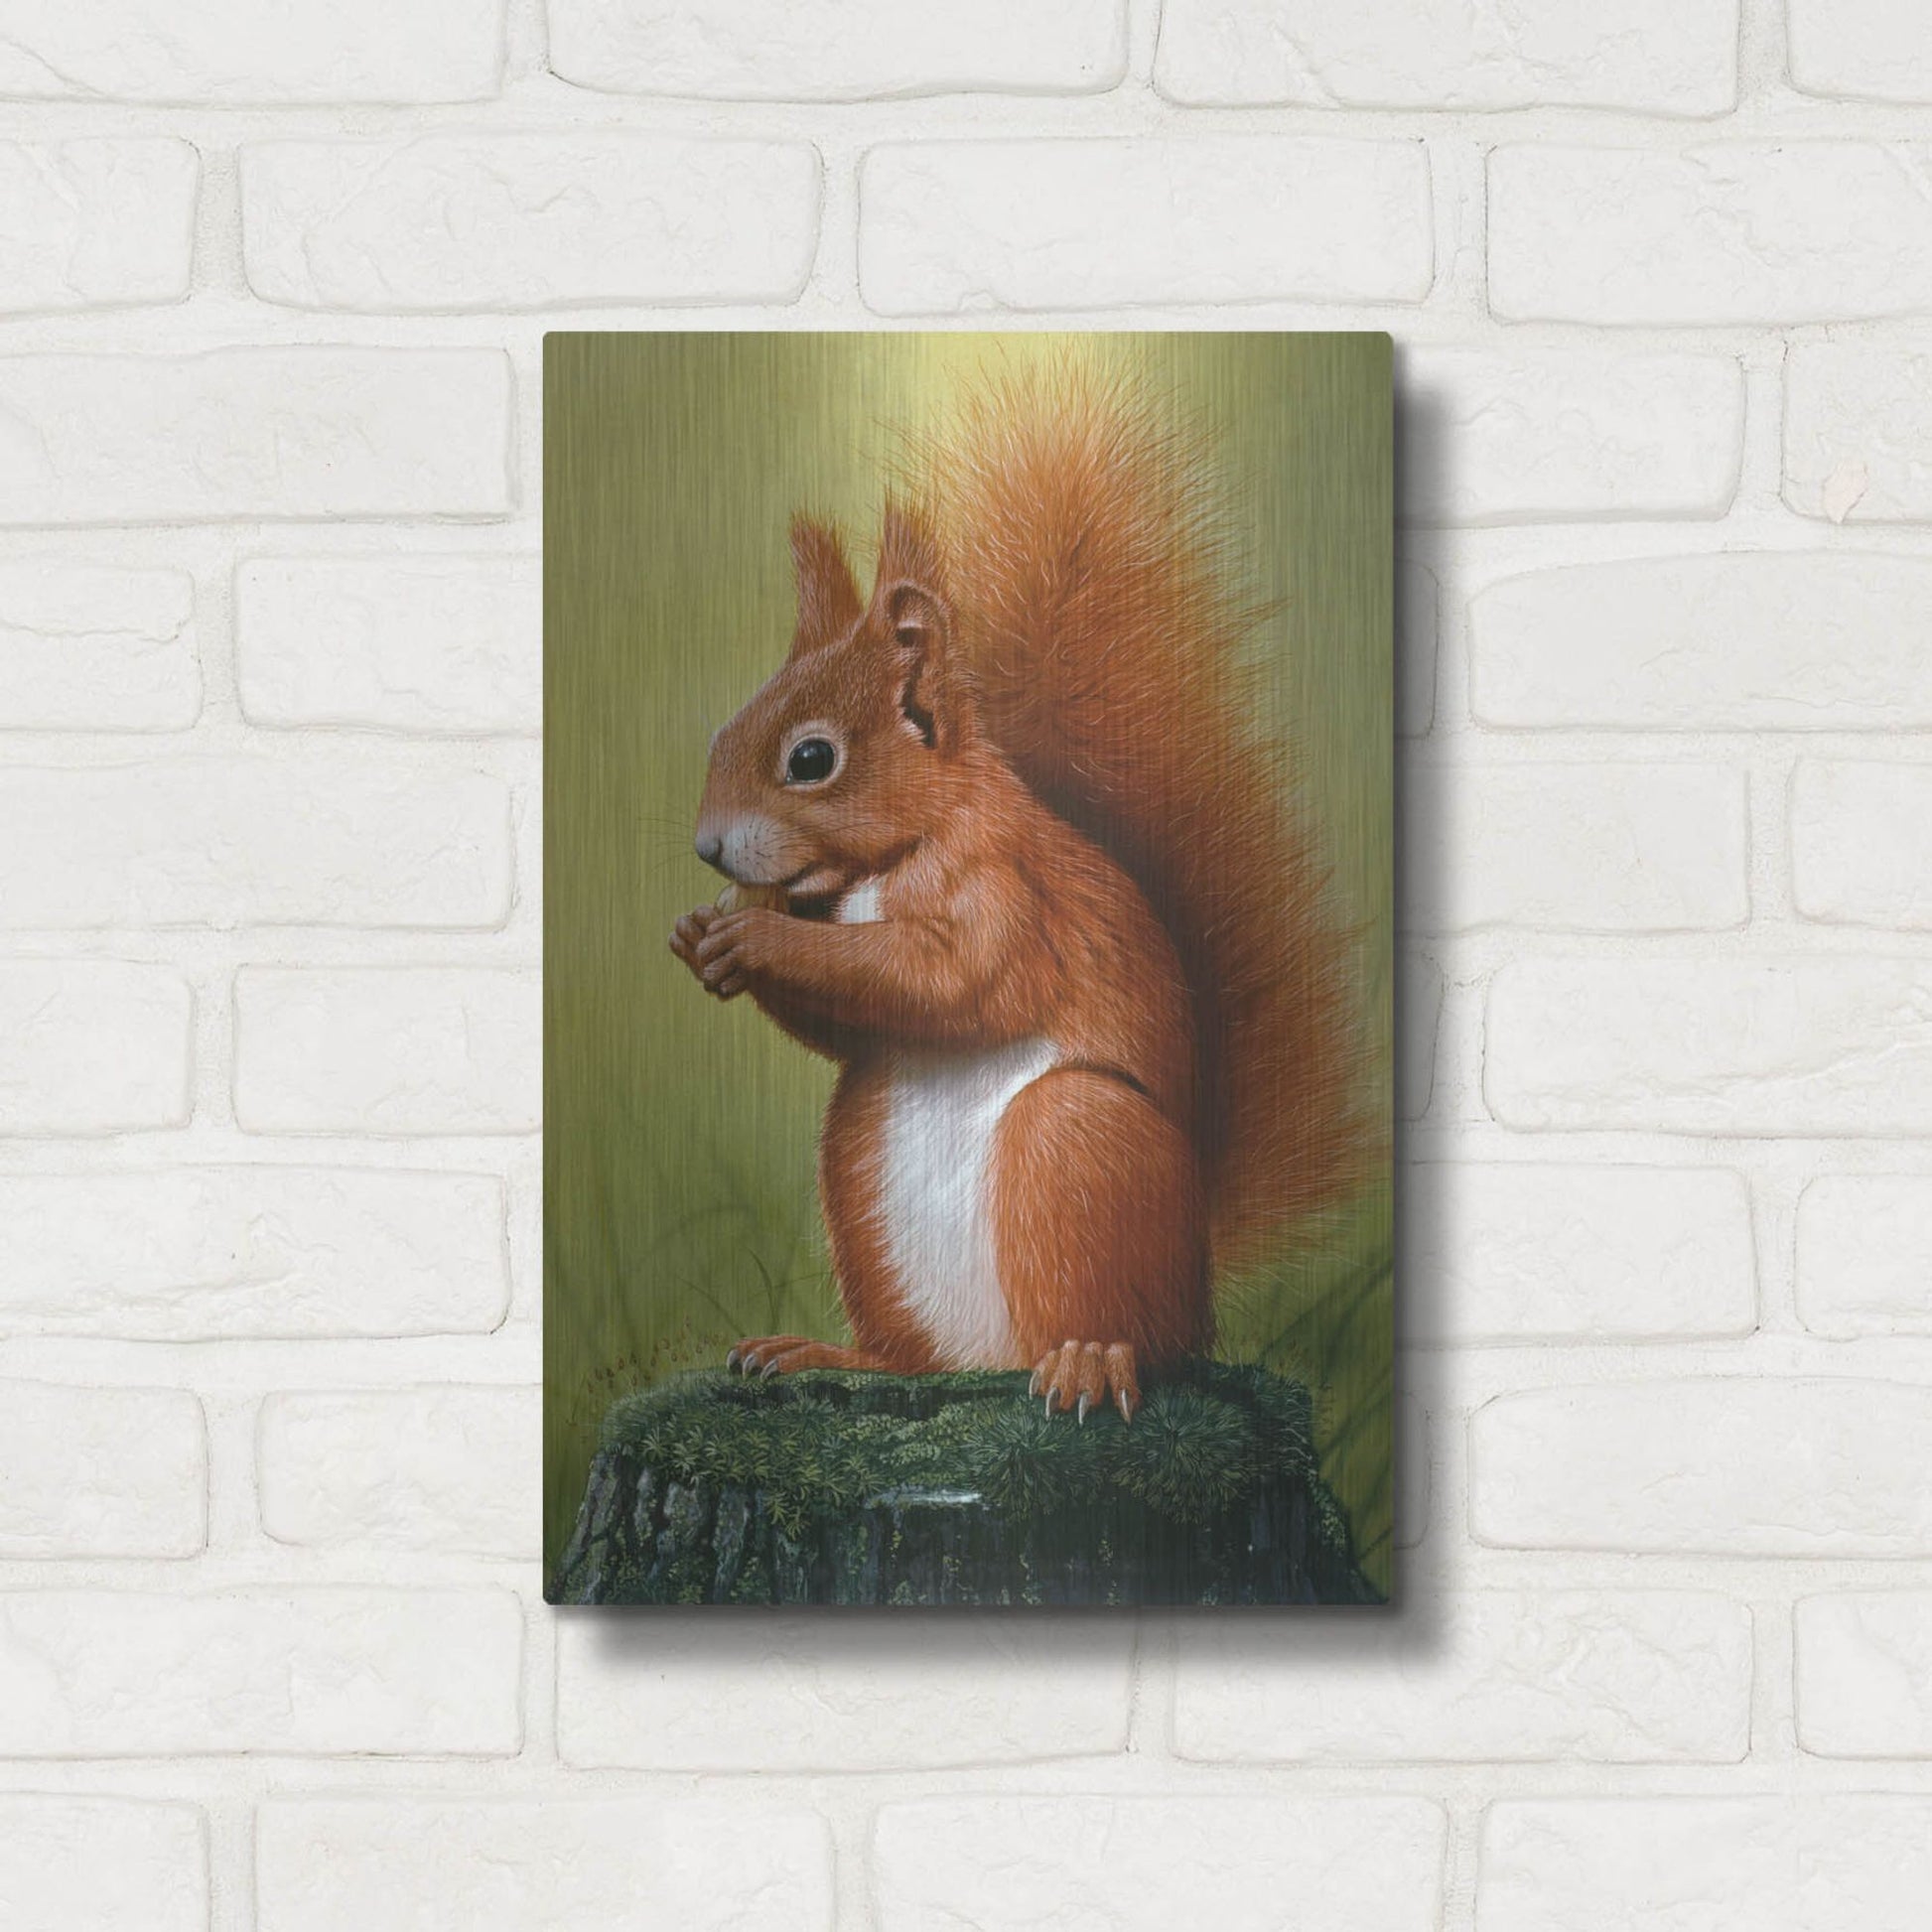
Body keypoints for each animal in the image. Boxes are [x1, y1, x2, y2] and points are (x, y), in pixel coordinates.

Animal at [670, 364, 1363, 1423]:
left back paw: (1090, 1360)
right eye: (723, 730)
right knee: (918, 1359)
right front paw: (704, 937)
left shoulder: (1007, 892)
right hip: (858, 1172)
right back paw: (833, 1353)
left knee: (1134, 1333)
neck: (888, 863)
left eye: (811, 760)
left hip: (1076, 1146)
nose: (707, 849)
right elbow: (852, 1024)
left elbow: (954, 980)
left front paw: (756, 939)